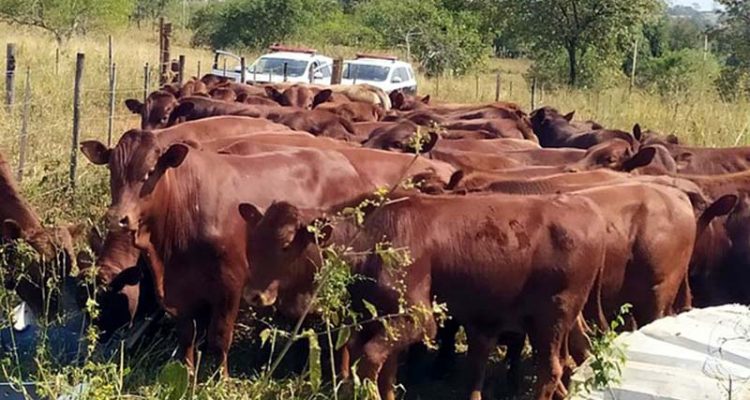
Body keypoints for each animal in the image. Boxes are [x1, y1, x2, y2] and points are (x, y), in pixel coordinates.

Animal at [241, 191, 612, 400]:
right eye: (253, 240)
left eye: (285, 244)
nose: (254, 295)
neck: (373, 239)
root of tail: (585, 207)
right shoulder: (382, 320)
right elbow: (386, 375)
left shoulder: (417, 319)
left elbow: (369, 362)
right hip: (568, 320)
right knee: (578, 360)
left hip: (551, 319)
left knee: (551, 371)